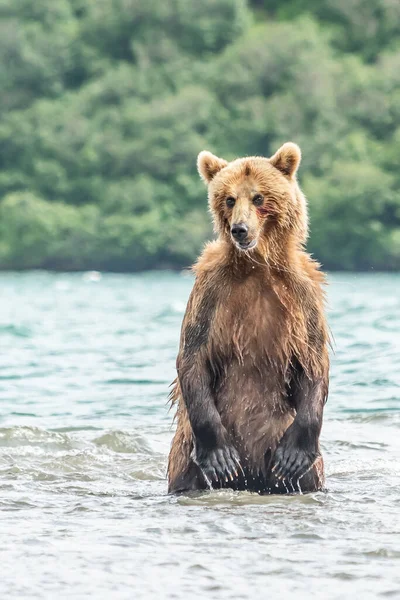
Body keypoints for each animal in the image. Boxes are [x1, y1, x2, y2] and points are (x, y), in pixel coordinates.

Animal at [167, 143, 330, 494]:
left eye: (258, 197)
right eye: (229, 198)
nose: (239, 229)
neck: (256, 265)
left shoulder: (303, 294)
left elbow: (313, 359)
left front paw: (293, 456)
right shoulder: (211, 291)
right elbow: (194, 354)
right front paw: (220, 457)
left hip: (280, 437)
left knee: (306, 476)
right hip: (185, 454)